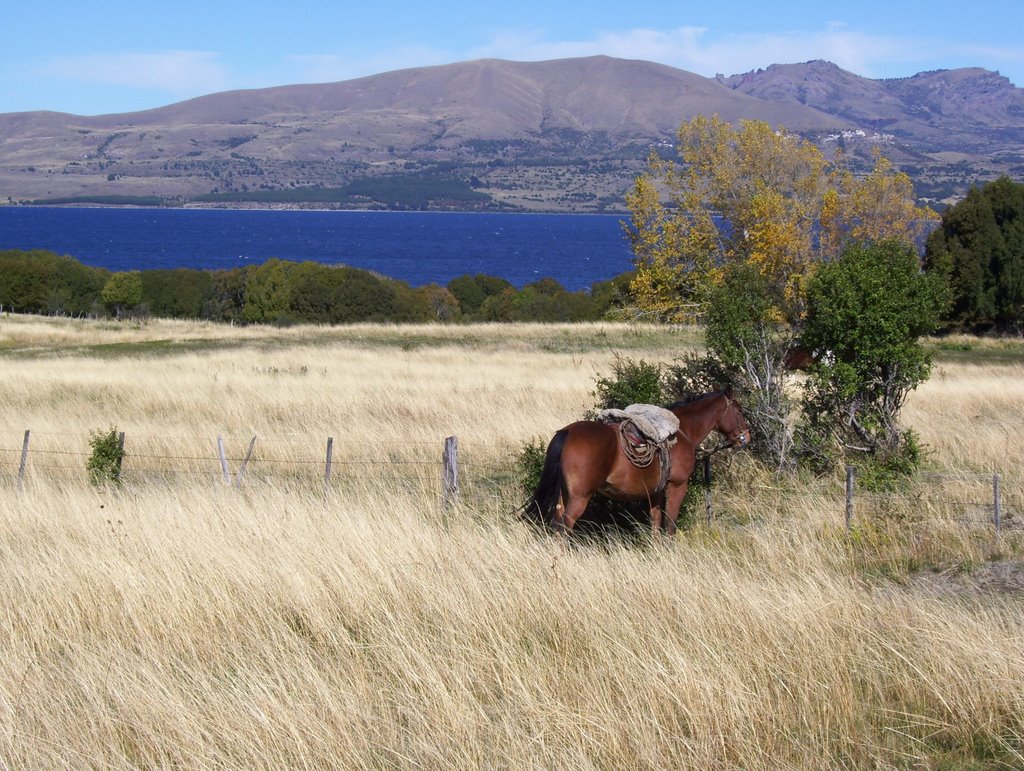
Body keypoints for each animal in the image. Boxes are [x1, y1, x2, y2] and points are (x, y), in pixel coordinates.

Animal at [528, 391, 753, 536]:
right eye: (740, 411)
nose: (746, 438)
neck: (683, 432)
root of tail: (567, 432)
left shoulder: (655, 493)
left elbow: (655, 524)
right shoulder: (677, 487)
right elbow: (670, 525)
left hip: (564, 494)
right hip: (579, 497)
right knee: (565, 526)